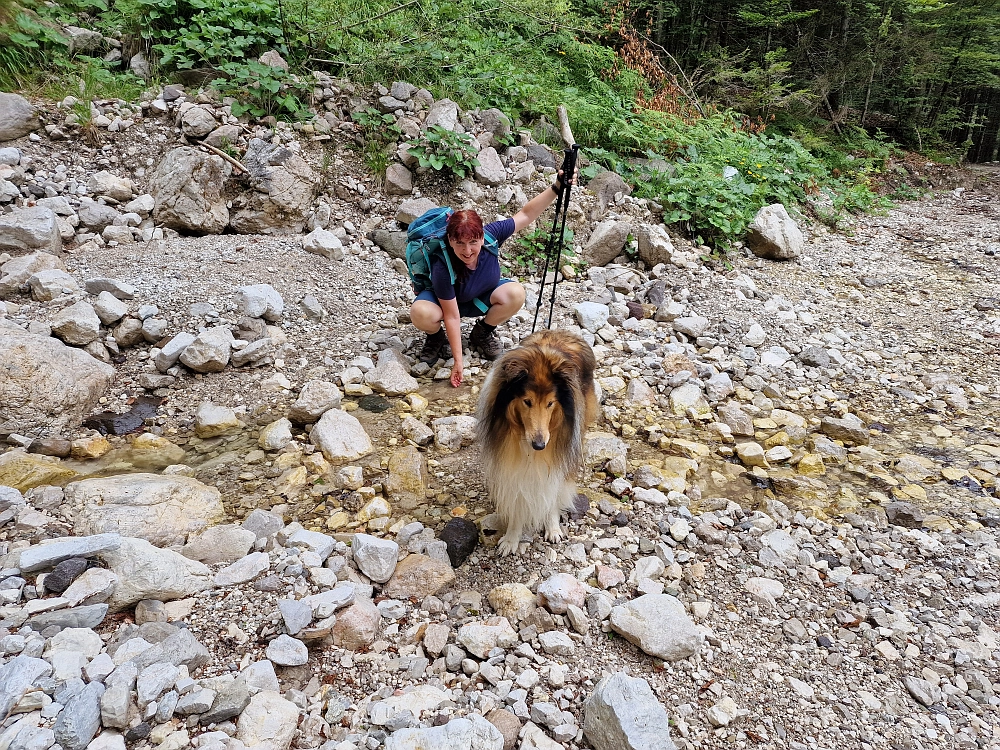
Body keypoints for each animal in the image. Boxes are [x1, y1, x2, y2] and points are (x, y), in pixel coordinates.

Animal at [474, 332, 592, 556]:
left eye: (550, 403)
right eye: (527, 401)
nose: (539, 445)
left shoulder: (558, 457)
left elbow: (552, 494)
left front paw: (553, 527)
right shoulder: (511, 466)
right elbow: (518, 501)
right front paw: (511, 539)